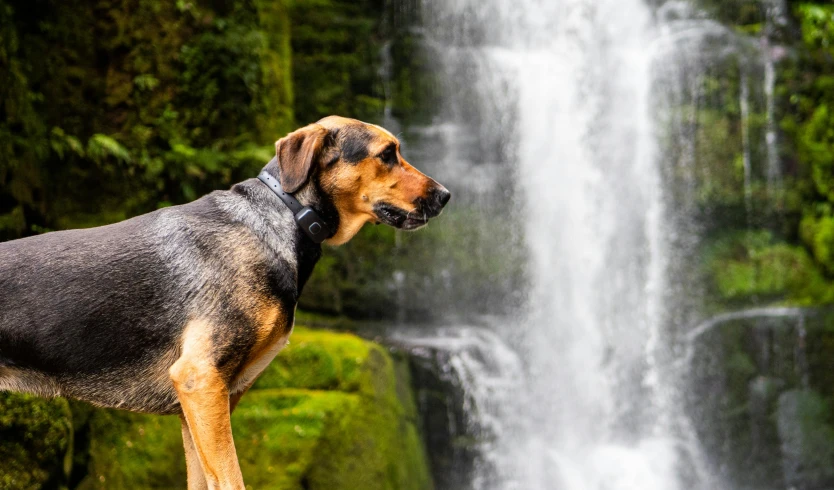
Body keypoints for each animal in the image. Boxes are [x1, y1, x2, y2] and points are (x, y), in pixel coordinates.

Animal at [0, 117, 448, 488]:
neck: (285, 216)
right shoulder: (200, 380)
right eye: (387, 155)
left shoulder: (203, 404)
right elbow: (232, 480)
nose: (446, 196)